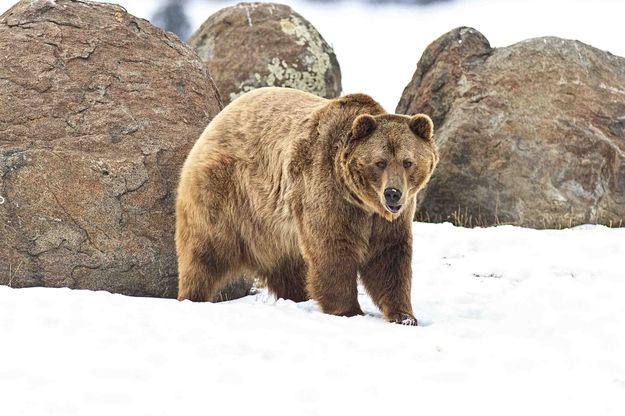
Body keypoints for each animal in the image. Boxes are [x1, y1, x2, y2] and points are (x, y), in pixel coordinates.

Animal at [176, 86, 438, 324]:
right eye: (380, 162)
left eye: (407, 162)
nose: (393, 193)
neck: (361, 200)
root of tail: (217, 119)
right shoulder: (328, 195)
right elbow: (332, 249)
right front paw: (348, 310)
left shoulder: (387, 220)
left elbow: (389, 259)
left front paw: (404, 316)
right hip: (228, 195)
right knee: (206, 251)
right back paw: (192, 296)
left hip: (275, 231)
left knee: (288, 269)